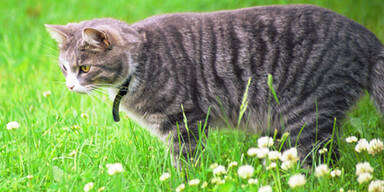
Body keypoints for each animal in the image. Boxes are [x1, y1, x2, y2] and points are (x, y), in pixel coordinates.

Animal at [45, 4, 384, 165]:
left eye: (84, 68)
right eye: (64, 68)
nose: (70, 86)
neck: (144, 61)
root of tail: (365, 36)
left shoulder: (185, 121)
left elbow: (186, 163)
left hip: (309, 113)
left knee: (322, 162)